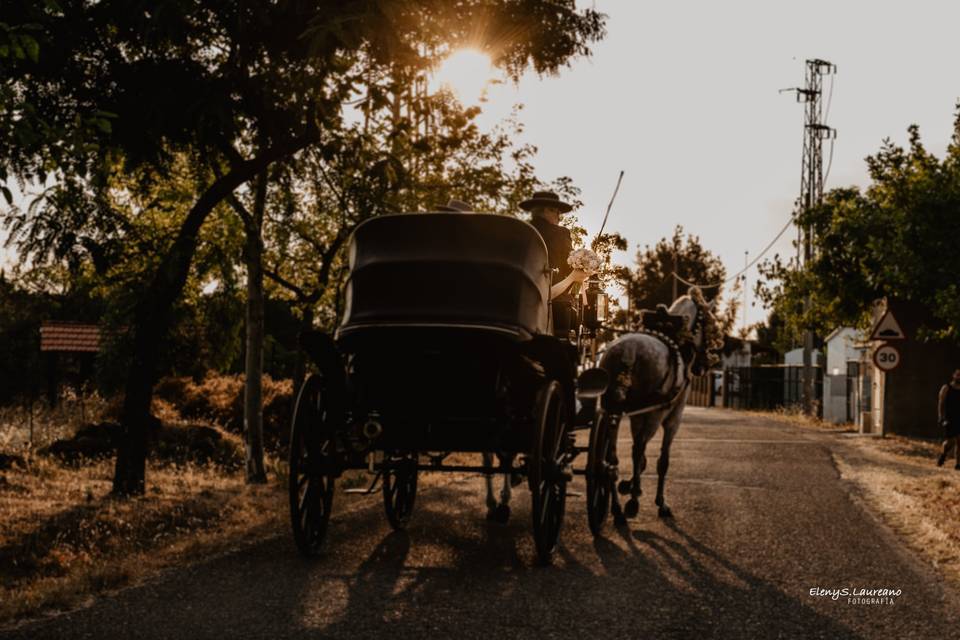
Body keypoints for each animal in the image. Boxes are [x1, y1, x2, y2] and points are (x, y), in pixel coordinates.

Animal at [604, 288, 716, 524]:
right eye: (707, 323)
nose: (702, 366)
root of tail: (628, 352)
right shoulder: (673, 417)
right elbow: (662, 460)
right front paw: (659, 502)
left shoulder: (637, 415)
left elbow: (642, 456)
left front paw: (628, 485)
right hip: (655, 415)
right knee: (637, 450)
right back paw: (633, 502)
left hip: (612, 411)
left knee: (611, 456)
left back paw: (617, 508)